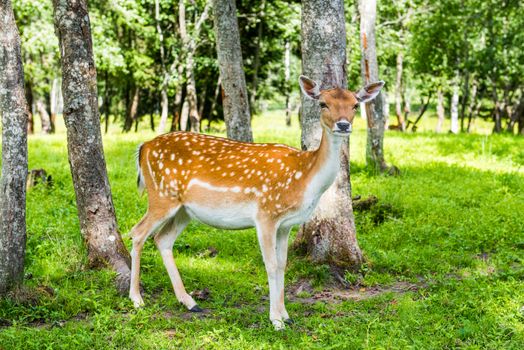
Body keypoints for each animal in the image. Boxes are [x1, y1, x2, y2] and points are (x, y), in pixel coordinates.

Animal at [130, 75, 384, 330]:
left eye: (355, 105)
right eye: (323, 103)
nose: (343, 125)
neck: (304, 177)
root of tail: (144, 147)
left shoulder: (286, 224)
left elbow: (282, 264)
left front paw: (286, 315)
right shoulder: (266, 214)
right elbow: (270, 264)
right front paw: (276, 321)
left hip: (184, 210)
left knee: (162, 239)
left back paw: (190, 302)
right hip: (162, 196)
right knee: (137, 232)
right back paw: (137, 299)